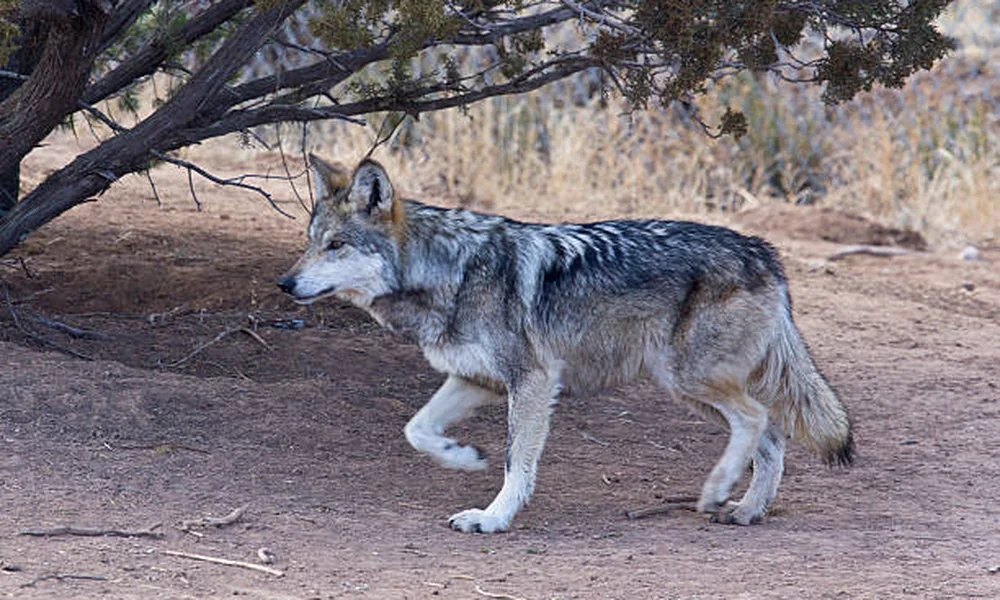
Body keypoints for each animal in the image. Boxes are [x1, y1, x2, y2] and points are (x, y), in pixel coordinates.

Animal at [278, 155, 854, 534]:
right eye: (310, 243)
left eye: (336, 246)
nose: (285, 283)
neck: (451, 271)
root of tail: (763, 251)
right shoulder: (476, 379)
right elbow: (416, 429)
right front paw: (463, 457)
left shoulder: (532, 381)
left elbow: (517, 461)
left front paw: (493, 518)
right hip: (687, 388)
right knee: (771, 435)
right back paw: (747, 510)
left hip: (687, 378)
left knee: (758, 419)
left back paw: (716, 491)